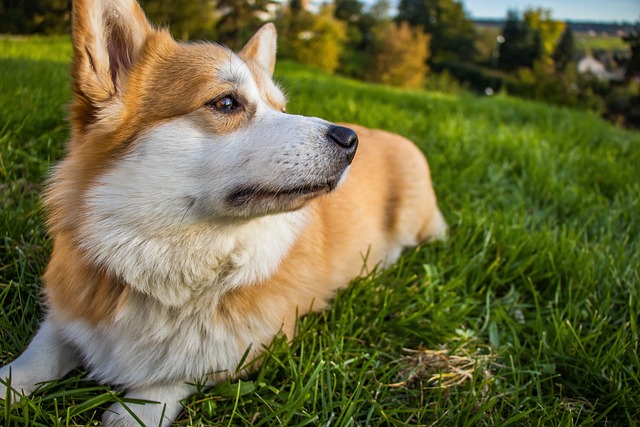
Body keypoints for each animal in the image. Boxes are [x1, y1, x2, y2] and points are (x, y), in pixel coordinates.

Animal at [0, 0, 448, 422]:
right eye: (227, 102)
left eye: (280, 108)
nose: (350, 140)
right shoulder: (67, 310)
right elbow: (36, 356)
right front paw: (11, 383)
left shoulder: (247, 347)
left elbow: (175, 375)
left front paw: (138, 410)